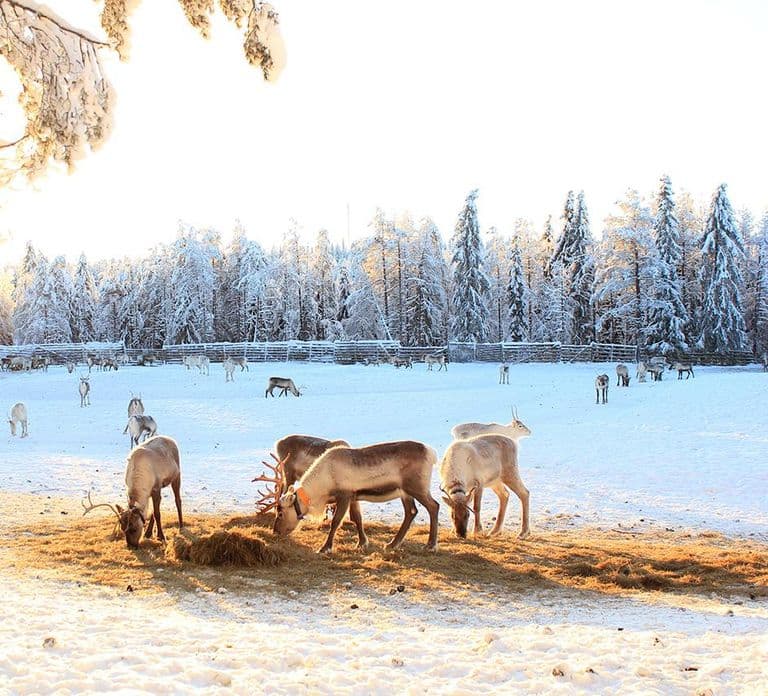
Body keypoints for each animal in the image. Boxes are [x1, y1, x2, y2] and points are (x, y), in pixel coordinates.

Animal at [273, 440, 440, 553]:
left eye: (280, 513)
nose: (275, 532)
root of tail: (432, 453)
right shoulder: (354, 497)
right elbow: (357, 519)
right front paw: (362, 543)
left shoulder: (344, 495)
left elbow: (335, 522)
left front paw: (325, 547)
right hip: (405, 492)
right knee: (411, 511)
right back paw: (392, 544)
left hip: (417, 487)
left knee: (433, 506)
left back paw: (430, 545)